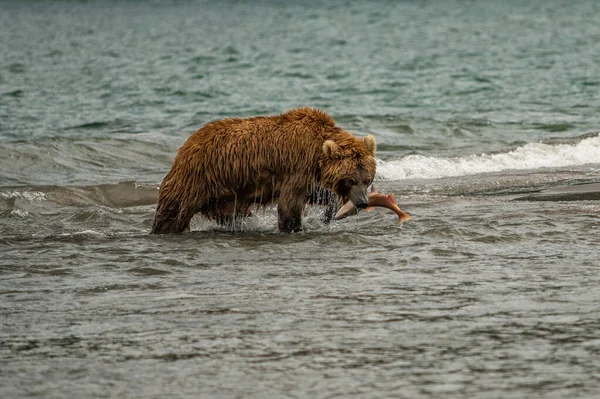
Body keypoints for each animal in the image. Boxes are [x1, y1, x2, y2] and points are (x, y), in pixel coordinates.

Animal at [150, 109, 376, 234]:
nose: (362, 202)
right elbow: (289, 205)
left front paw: (328, 213)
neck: (316, 155)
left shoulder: (311, 176)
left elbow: (316, 194)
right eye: (350, 180)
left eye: (367, 179)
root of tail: (187, 143)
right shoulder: (296, 168)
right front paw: (294, 227)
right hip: (196, 177)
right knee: (173, 211)